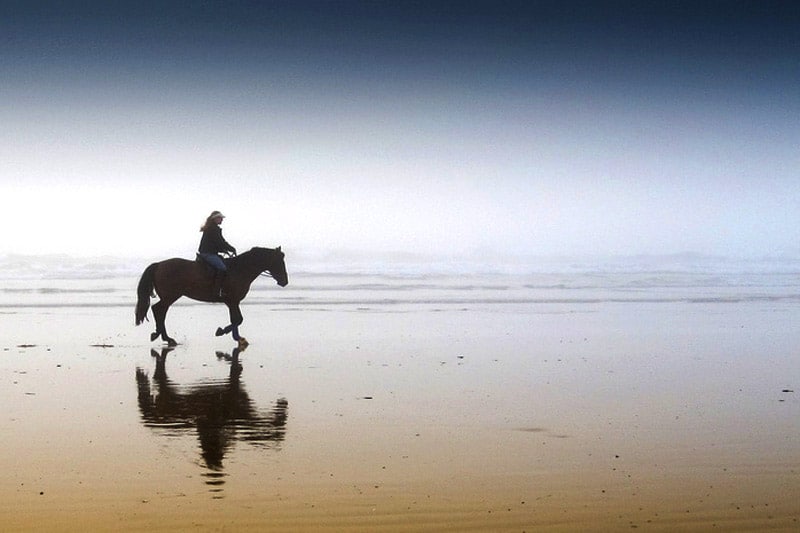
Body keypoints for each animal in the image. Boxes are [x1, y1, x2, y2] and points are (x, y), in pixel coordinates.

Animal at [134, 245, 288, 344]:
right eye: (279, 261)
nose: (285, 281)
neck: (240, 269)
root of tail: (159, 264)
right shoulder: (232, 301)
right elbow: (238, 319)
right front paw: (222, 331)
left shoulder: (233, 302)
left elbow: (236, 319)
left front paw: (238, 338)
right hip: (170, 296)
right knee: (158, 310)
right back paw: (164, 337)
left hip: (169, 297)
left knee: (159, 311)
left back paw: (161, 335)